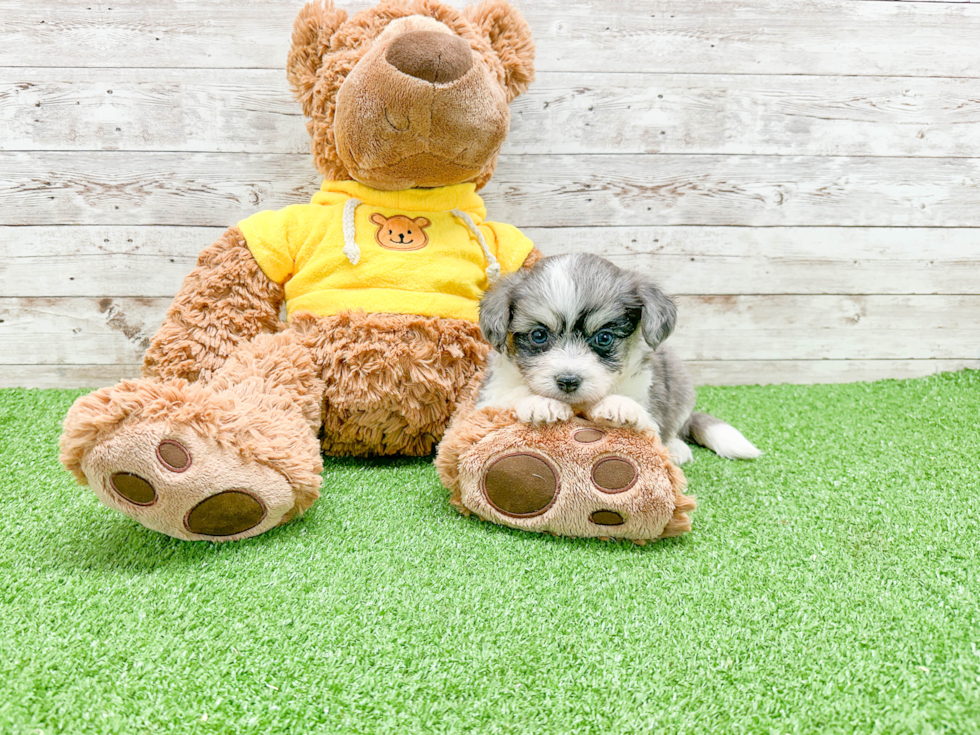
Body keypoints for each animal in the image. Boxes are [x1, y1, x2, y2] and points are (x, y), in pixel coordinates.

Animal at [478, 252, 760, 460]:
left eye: (604, 338)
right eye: (539, 335)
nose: (568, 381)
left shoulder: (648, 400)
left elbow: (646, 418)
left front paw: (618, 405)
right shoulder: (488, 398)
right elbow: (508, 398)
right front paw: (540, 403)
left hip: (680, 384)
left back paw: (676, 449)